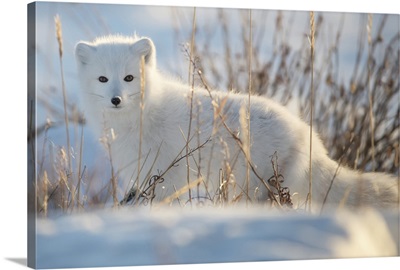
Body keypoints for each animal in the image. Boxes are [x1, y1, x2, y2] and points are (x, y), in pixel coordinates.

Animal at [74, 33, 396, 211]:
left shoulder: (167, 174)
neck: (142, 115)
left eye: (129, 78)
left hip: (253, 185)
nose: (116, 99)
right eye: (103, 79)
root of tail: (310, 139)